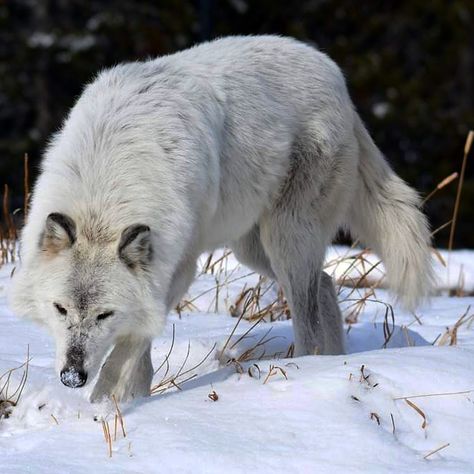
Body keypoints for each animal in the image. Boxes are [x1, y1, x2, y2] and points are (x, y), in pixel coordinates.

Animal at [10, 35, 434, 402]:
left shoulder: (176, 269)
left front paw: (103, 408)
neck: (108, 188)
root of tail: (335, 75)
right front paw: (130, 400)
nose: (71, 377)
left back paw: (305, 369)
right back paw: (333, 361)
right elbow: (139, 354)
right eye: (60, 309)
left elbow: (126, 351)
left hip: (285, 240)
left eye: (104, 314)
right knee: (327, 285)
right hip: (253, 249)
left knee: (309, 316)